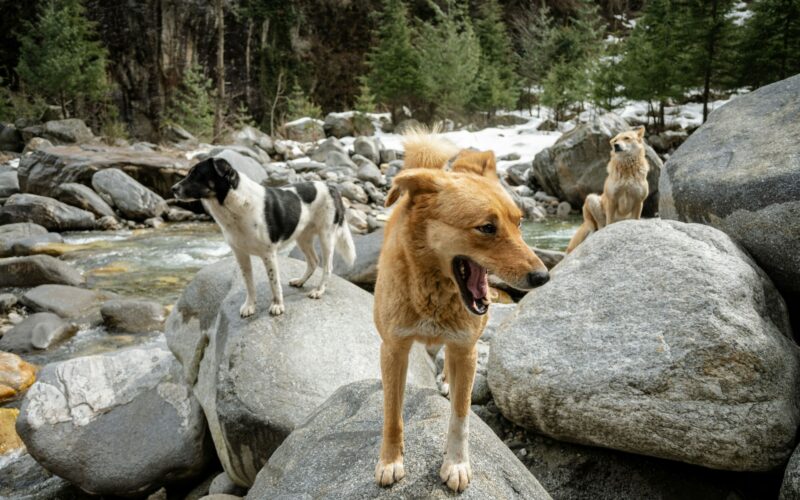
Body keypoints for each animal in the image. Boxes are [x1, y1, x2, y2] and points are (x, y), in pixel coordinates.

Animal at [173, 157, 356, 316]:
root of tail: (331, 187)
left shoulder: (269, 254)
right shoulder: (240, 254)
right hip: (302, 236)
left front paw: (277, 306)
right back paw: (300, 281)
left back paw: (319, 290)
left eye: (196, 174)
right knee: (313, 261)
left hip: (327, 235)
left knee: (327, 266)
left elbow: (274, 284)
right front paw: (250, 306)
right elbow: (249, 283)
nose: (173, 189)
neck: (234, 204)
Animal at [376, 130, 552, 492]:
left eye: (519, 222)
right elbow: (392, 415)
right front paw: (390, 461)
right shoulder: (394, 349)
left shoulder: (467, 349)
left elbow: (461, 415)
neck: (433, 294)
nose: (543, 277)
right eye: (486, 227)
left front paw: (456, 464)